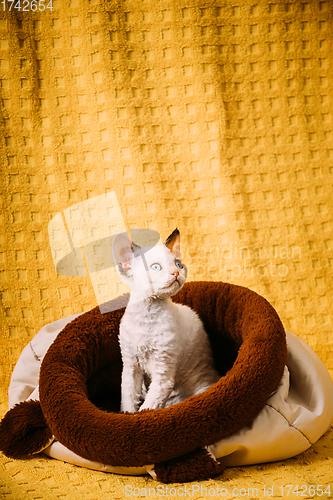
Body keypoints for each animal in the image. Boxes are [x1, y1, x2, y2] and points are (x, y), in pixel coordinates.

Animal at [112, 229, 220, 412]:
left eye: (178, 265)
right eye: (156, 267)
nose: (176, 273)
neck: (146, 314)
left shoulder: (163, 371)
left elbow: (147, 409)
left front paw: (139, 417)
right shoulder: (130, 366)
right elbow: (128, 401)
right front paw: (127, 416)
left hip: (201, 385)